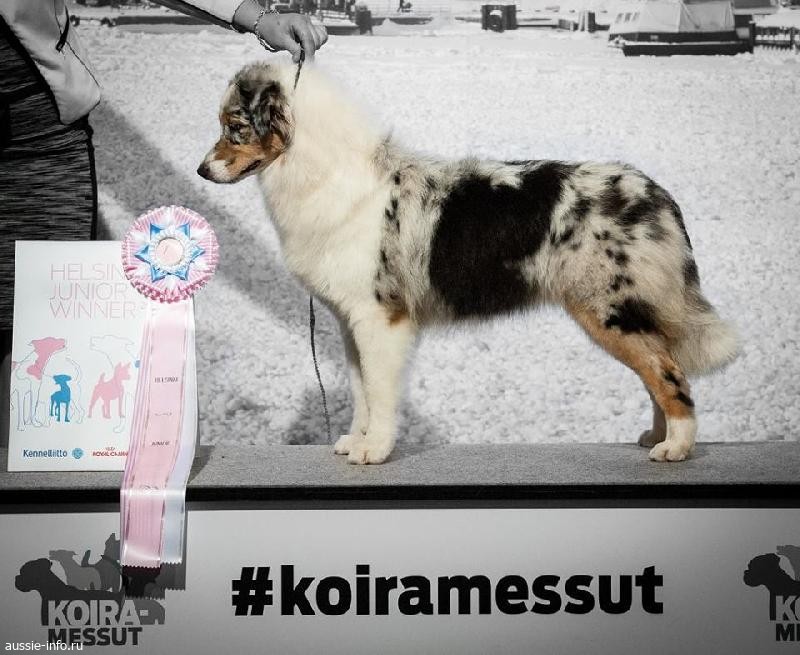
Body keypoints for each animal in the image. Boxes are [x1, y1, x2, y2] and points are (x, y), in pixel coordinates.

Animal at [198, 62, 738, 465]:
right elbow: (360, 391)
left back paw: (676, 447)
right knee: (658, 368)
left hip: (607, 310)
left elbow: (381, 392)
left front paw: (375, 451)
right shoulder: (351, 321)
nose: (202, 170)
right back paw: (657, 437)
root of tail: (658, 194)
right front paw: (356, 441)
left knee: (669, 372)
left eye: (235, 127)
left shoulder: (381, 318)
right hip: (625, 312)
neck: (323, 172)